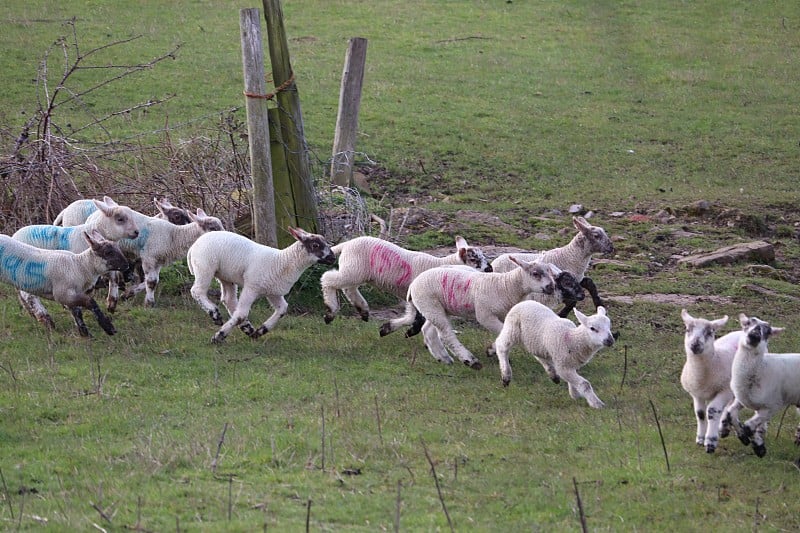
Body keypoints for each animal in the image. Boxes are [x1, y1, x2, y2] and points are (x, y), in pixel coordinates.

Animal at [188, 225, 338, 342]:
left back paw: (247, 328)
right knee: (197, 291)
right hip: (205, 265)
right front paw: (219, 336)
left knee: (228, 299)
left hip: (225, 275)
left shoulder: (273, 292)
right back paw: (215, 315)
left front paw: (261, 331)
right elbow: (241, 314)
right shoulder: (251, 287)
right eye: (315, 245)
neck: (282, 262)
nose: (332, 258)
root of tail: (193, 246)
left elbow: (283, 309)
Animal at [320, 235, 494, 326]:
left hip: (355, 270)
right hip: (354, 269)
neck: (439, 264)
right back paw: (330, 312)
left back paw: (363, 310)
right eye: (474, 259)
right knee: (328, 279)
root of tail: (347, 244)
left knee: (348, 288)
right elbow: (412, 316)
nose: (490, 269)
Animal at [680, 310, 748, 450]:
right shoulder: (696, 394)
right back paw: (724, 428)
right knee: (728, 407)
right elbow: (700, 414)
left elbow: (712, 410)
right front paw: (700, 438)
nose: (695, 345)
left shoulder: (724, 389)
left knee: (733, 407)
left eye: (710, 332)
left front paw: (710, 441)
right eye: (688, 329)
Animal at [720, 316, 800, 458]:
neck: (762, 368)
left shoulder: (773, 404)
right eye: (748, 323)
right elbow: (731, 413)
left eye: (768, 331)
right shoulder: (743, 398)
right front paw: (744, 438)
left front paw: (758, 447)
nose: (755, 335)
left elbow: (749, 427)